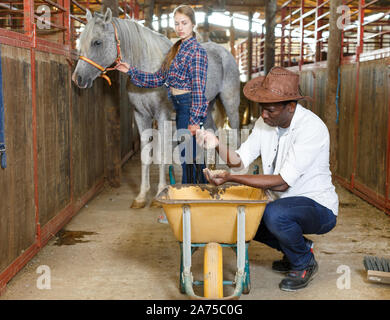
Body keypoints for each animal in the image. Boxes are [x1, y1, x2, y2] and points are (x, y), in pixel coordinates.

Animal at [71, 8, 239, 209]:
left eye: (97, 42)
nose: (78, 79)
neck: (148, 65)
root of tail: (223, 52)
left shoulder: (162, 116)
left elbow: (162, 152)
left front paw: (159, 194)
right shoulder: (141, 116)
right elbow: (145, 155)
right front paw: (141, 196)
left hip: (230, 102)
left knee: (235, 133)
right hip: (205, 107)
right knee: (211, 131)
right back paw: (210, 172)